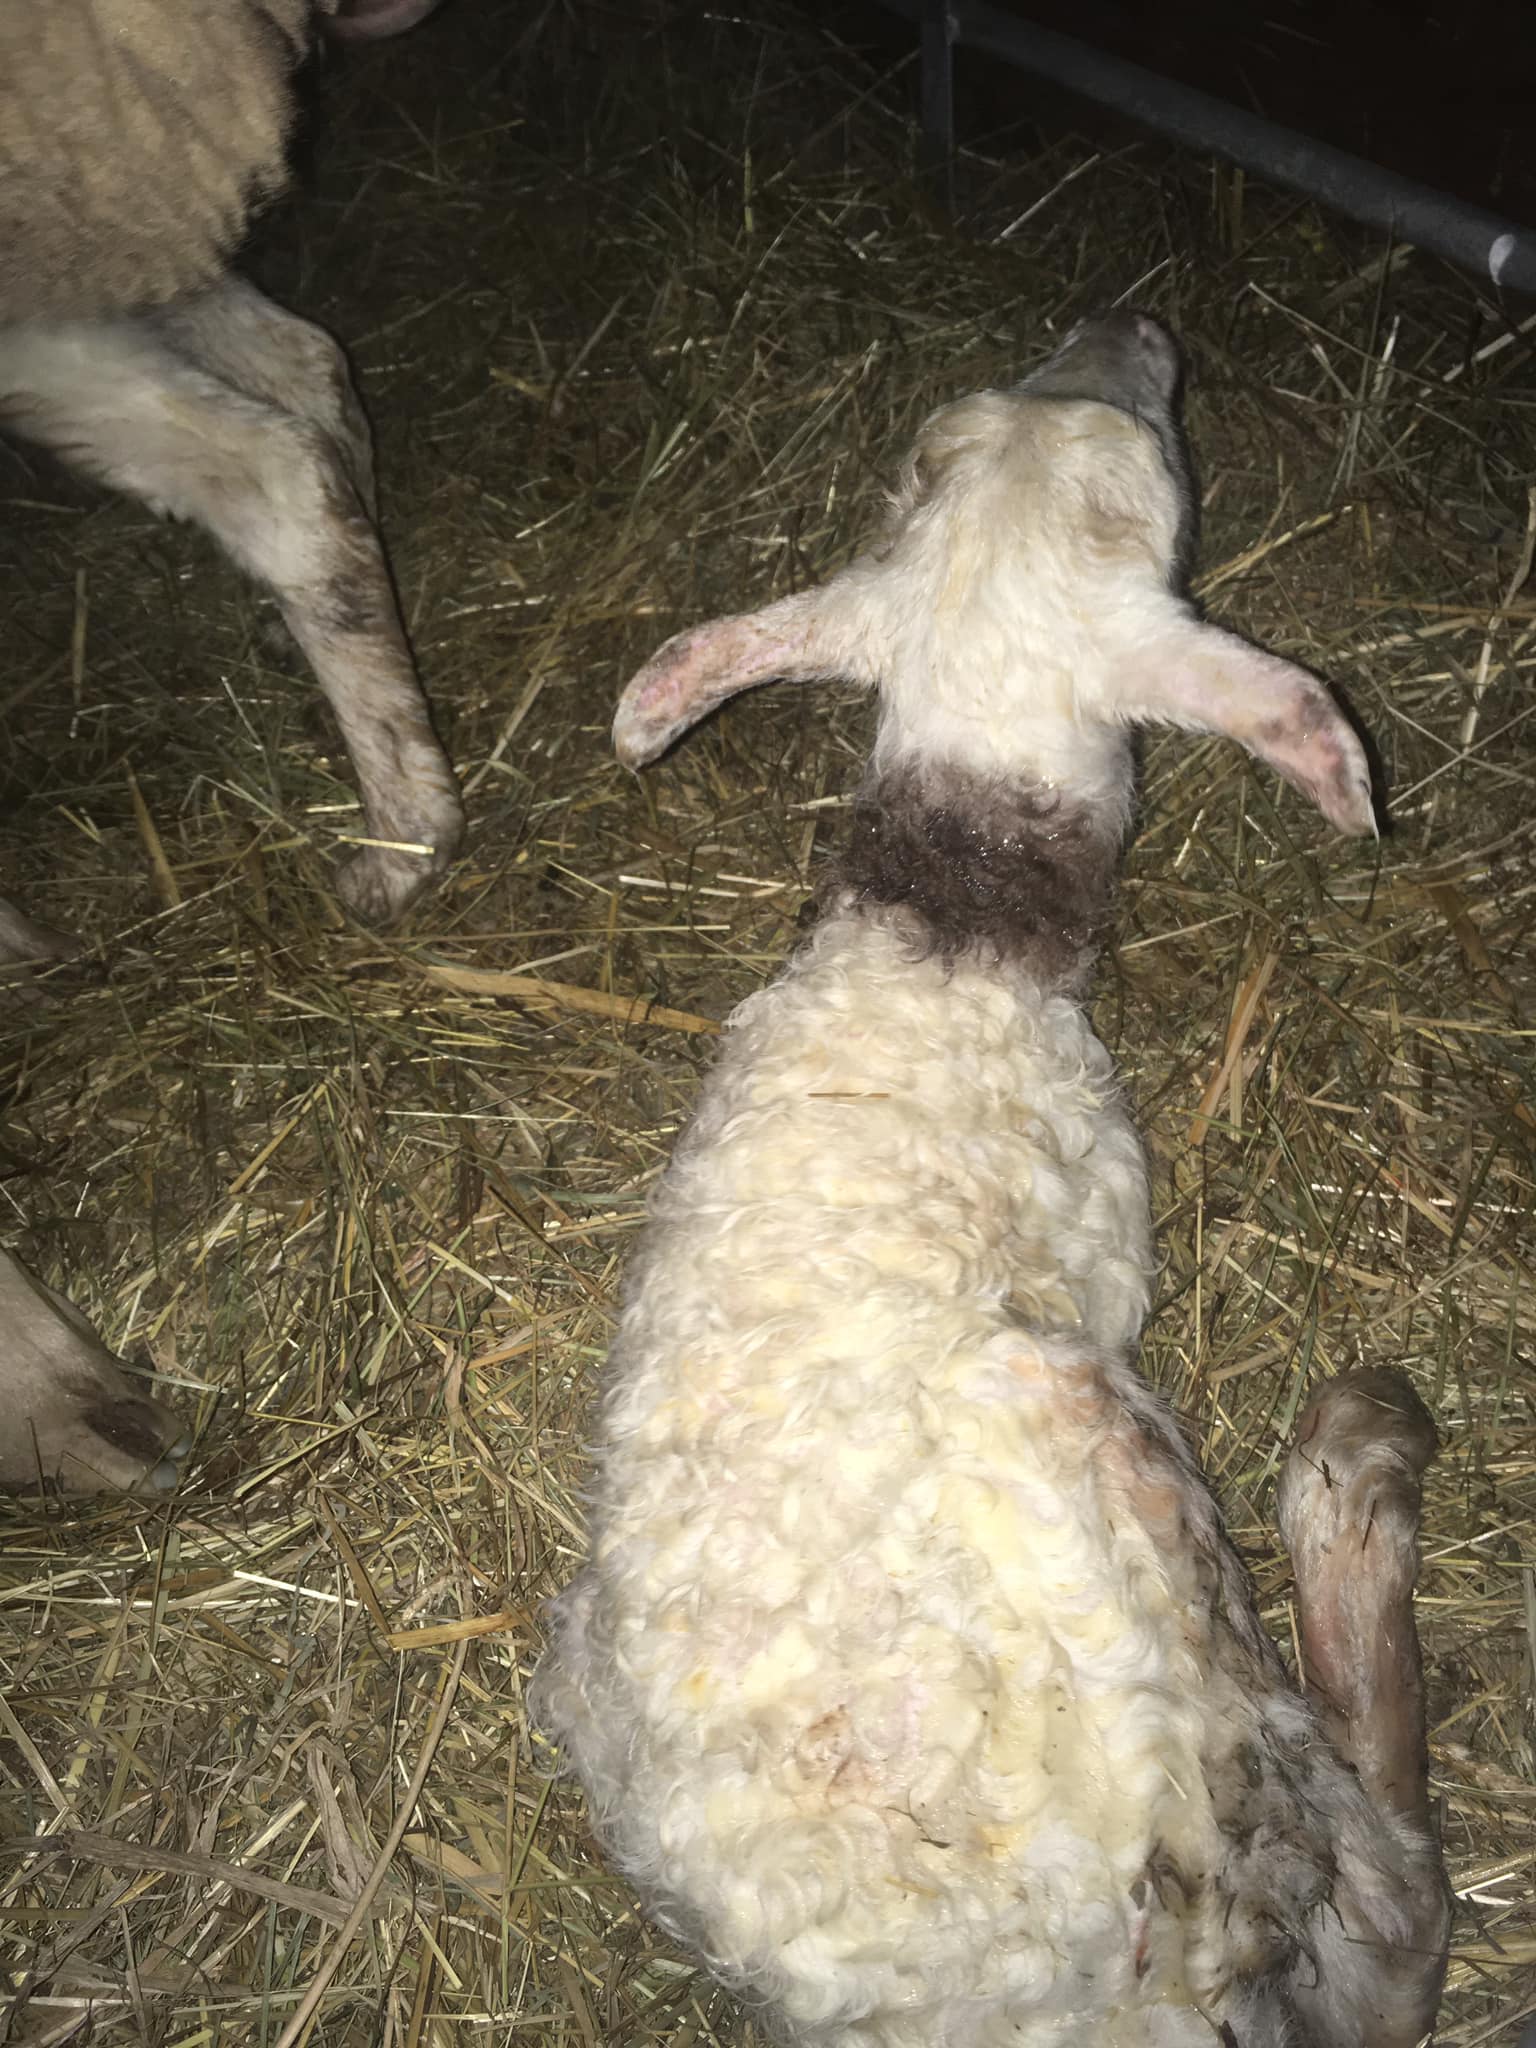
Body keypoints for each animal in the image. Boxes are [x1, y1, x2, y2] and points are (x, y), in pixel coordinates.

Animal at [529, 311, 1451, 2046]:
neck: (940, 931)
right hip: (1125, 1500)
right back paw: (1355, 1482)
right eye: (1156, 470)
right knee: (1396, 1910)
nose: (1135, 328)